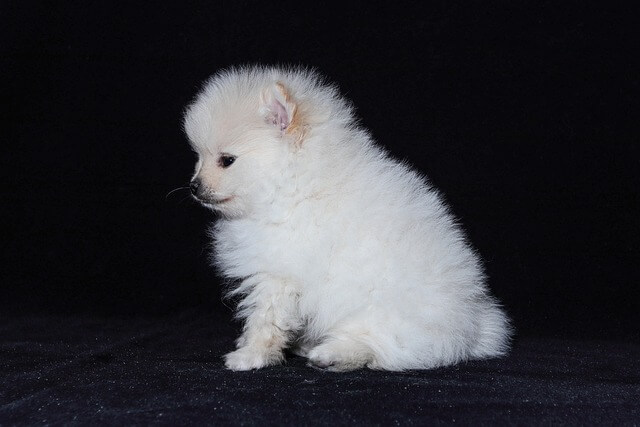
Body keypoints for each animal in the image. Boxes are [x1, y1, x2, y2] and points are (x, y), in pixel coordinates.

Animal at [184, 66, 511, 371]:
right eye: (198, 157)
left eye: (227, 160)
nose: (194, 186)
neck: (292, 184)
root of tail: (473, 326)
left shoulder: (278, 275)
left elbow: (266, 320)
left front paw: (251, 355)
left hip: (384, 311)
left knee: (380, 344)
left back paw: (332, 354)